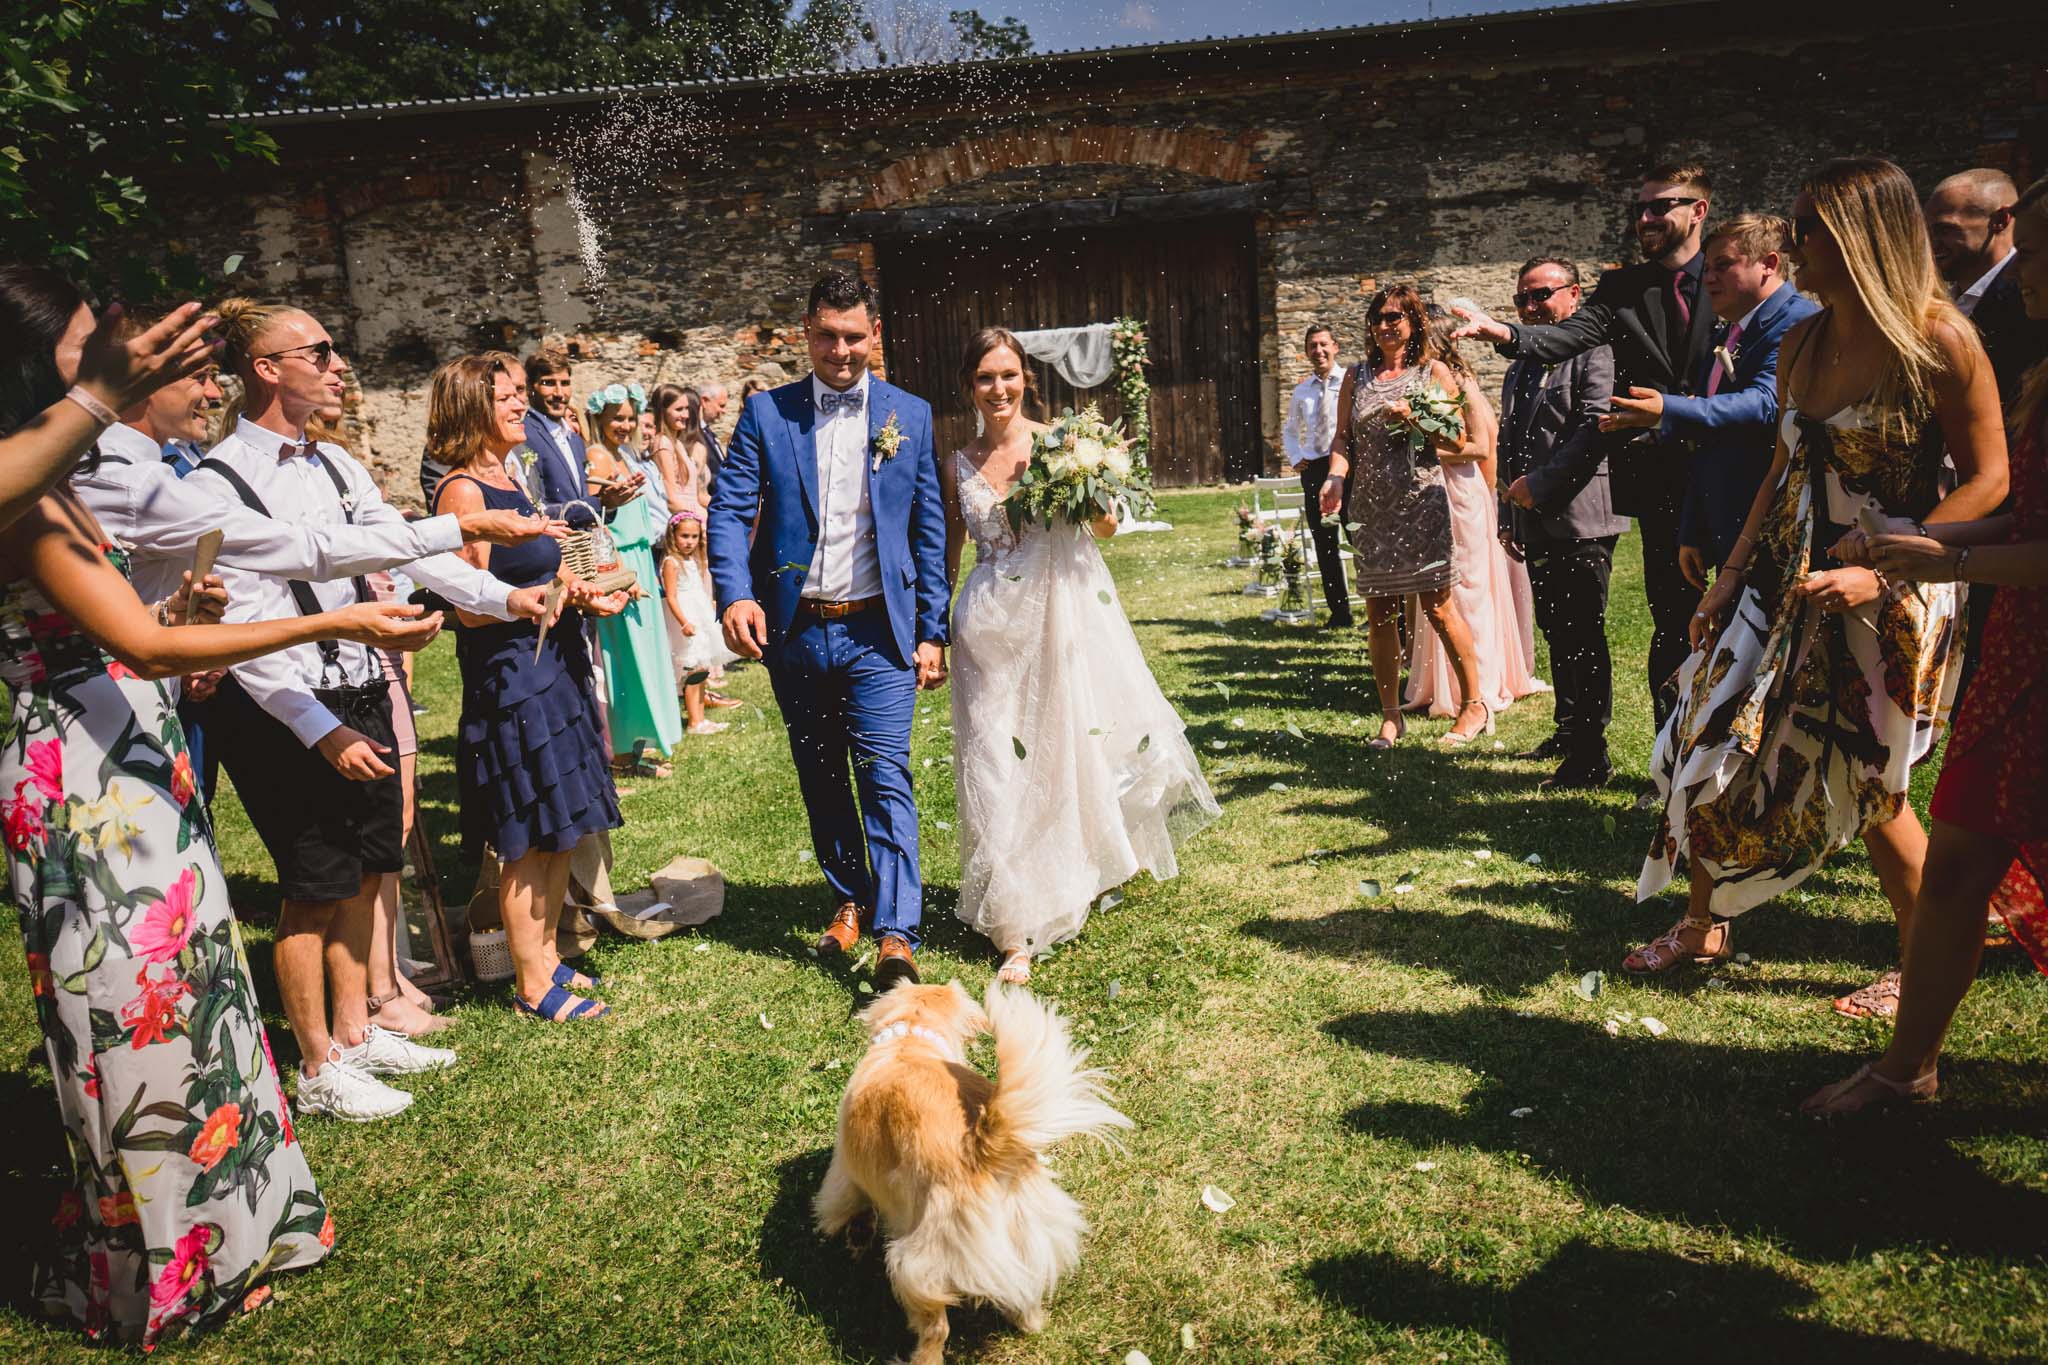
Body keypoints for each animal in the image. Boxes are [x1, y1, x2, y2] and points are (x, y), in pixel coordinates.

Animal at [814, 979, 1132, 1364]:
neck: (911, 1039)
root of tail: (984, 1148)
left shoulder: (845, 1170)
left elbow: (848, 1203)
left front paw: (853, 1233)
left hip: (915, 1262)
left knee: (936, 1329)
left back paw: (919, 1357)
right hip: (1025, 1238)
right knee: (1025, 1296)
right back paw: (1031, 1322)